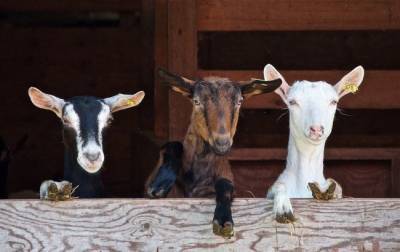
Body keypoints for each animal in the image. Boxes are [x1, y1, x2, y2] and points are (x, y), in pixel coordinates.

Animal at [146, 68, 282, 236]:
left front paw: (223, 220)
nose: (222, 142)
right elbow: (173, 145)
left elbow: (225, 185)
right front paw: (160, 185)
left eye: (239, 101)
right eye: (196, 101)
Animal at [264, 63, 364, 222]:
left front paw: (330, 190)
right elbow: (278, 186)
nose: (316, 129)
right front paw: (283, 208)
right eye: (292, 102)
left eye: (334, 101)